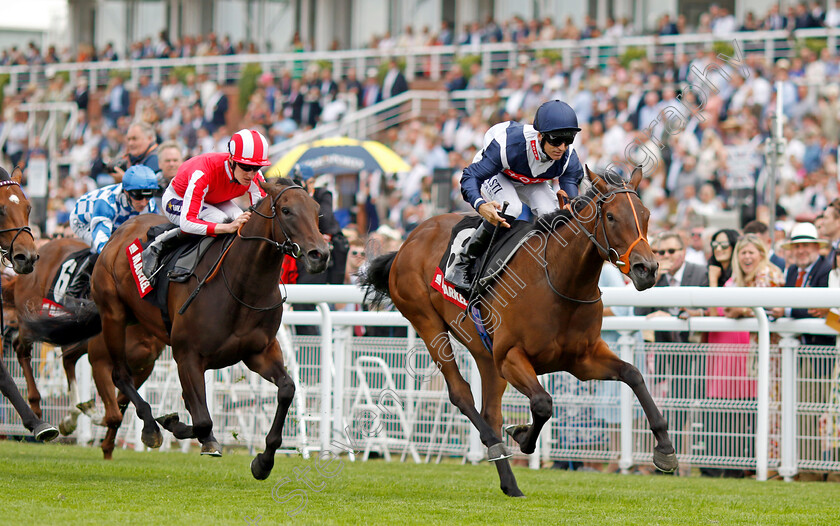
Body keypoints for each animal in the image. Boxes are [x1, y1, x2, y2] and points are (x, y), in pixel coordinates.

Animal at [8, 237, 166, 460]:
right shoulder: (100, 362)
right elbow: (113, 414)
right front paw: (91, 413)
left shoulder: (144, 367)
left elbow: (121, 406)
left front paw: (107, 447)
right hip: (33, 321)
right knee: (21, 348)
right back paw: (37, 405)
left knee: (68, 359)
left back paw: (70, 417)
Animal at [24, 178, 326, 478]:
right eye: (286, 210)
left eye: (317, 210)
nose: (319, 254)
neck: (241, 285)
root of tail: (119, 233)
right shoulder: (188, 356)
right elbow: (203, 420)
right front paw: (178, 428)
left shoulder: (259, 352)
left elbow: (286, 389)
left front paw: (263, 461)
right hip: (113, 315)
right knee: (118, 374)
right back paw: (147, 427)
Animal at [360, 167, 676, 498]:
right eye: (612, 217)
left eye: (646, 214)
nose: (647, 269)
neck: (559, 281)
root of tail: (409, 240)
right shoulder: (512, 357)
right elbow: (543, 403)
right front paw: (522, 436)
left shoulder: (583, 360)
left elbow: (633, 374)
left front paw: (665, 449)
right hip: (427, 322)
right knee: (461, 394)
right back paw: (494, 445)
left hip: (484, 351)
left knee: (490, 410)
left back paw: (509, 482)